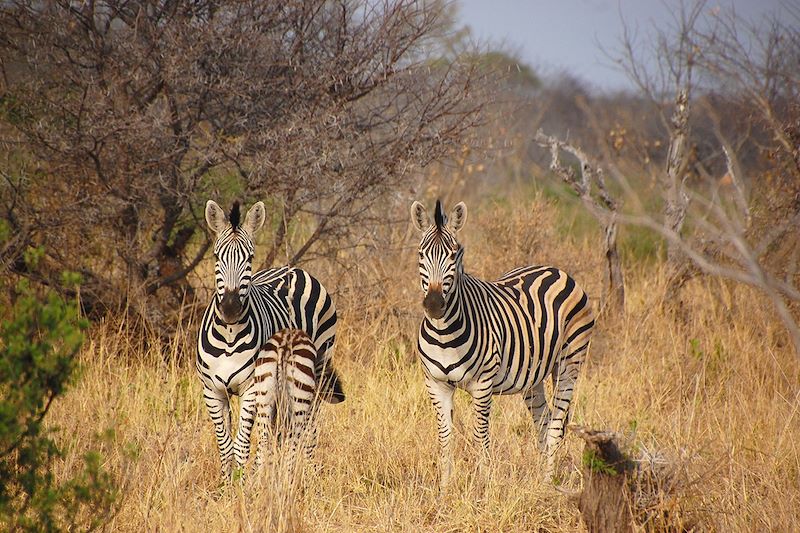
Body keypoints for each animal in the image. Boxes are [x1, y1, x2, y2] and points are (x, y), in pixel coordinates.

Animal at [412, 197, 592, 488]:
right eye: (421, 254)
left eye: (454, 255)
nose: (434, 305)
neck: (444, 333)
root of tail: (556, 270)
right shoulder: (436, 384)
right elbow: (445, 437)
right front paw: (444, 489)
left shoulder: (482, 384)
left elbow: (481, 435)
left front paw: (484, 486)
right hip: (533, 376)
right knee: (543, 421)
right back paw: (539, 479)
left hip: (570, 362)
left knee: (555, 425)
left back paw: (547, 485)